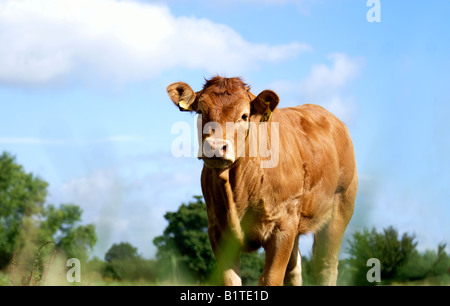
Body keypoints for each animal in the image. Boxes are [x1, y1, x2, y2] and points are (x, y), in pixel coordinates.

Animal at [167, 76, 356, 286]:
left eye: (244, 115)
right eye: (200, 111)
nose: (215, 147)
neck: (237, 188)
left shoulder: (283, 224)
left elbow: (271, 279)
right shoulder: (216, 229)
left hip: (339, 211)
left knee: (326, 266)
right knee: (295, 270)